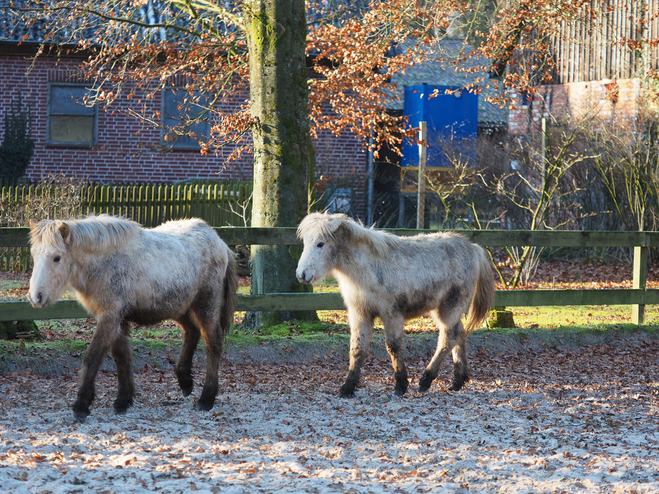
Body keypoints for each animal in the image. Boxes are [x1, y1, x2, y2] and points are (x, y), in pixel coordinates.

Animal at [29, 214, 240, 418]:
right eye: (33, 255)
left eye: (57, 257)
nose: (36, 297)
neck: (105, 262)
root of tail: (220, 242)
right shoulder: (118, 319)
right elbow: (122, 357)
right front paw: (123, 400)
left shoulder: (110, 317)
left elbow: (93, 356)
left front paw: (81, 405)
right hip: (179, 307)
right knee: (192, 332)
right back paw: (185, 380)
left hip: (205, 306)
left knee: (213, 345)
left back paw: (206, 399)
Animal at [296, 212, 496, 398]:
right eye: (305, 242)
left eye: (320, 244)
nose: (301, 275)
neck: (368, 268)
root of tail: (474, 249)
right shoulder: (360, 314)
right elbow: (357, 348)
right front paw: (347, 388)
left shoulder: (391, 313)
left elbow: (393, 346)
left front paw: (400, 385)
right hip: (445, 310)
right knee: (459, 334)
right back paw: (457, 381)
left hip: (449, 308)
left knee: (448, 338)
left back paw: (426, 380)